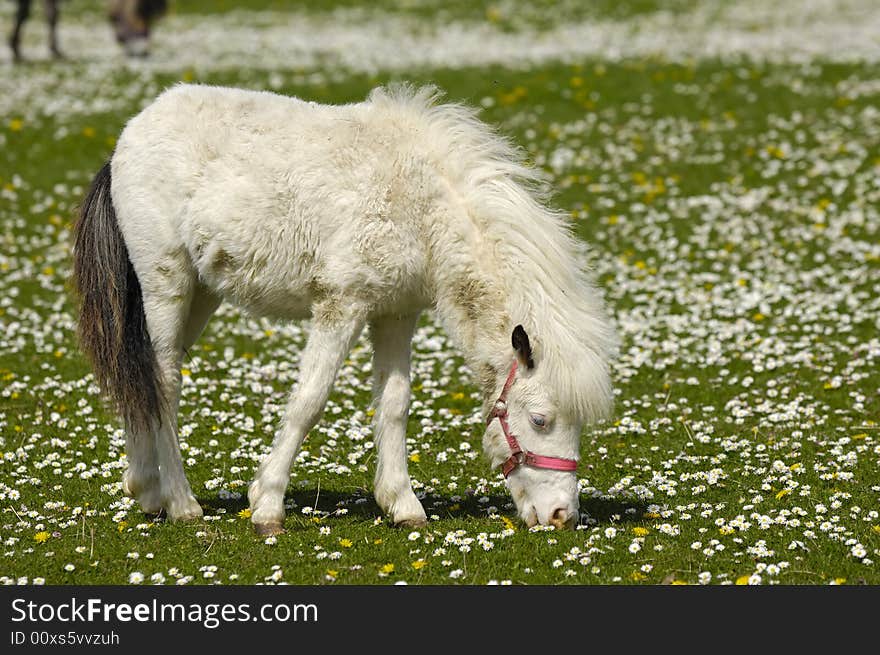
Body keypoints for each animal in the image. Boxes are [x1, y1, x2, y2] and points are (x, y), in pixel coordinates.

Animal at [70, 83, 620, 532]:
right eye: (541, 420)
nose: (561, 516)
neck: (422, 204)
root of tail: (127, 137)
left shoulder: (396, 314)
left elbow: (395, 404)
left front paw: (402, 504)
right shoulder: (341, 307)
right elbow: (309, 400)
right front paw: (267, 505)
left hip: (201, 295)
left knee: (141, 376)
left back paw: (146, 489)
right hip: (167, 284)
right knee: (163, 381)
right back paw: (182, 503)